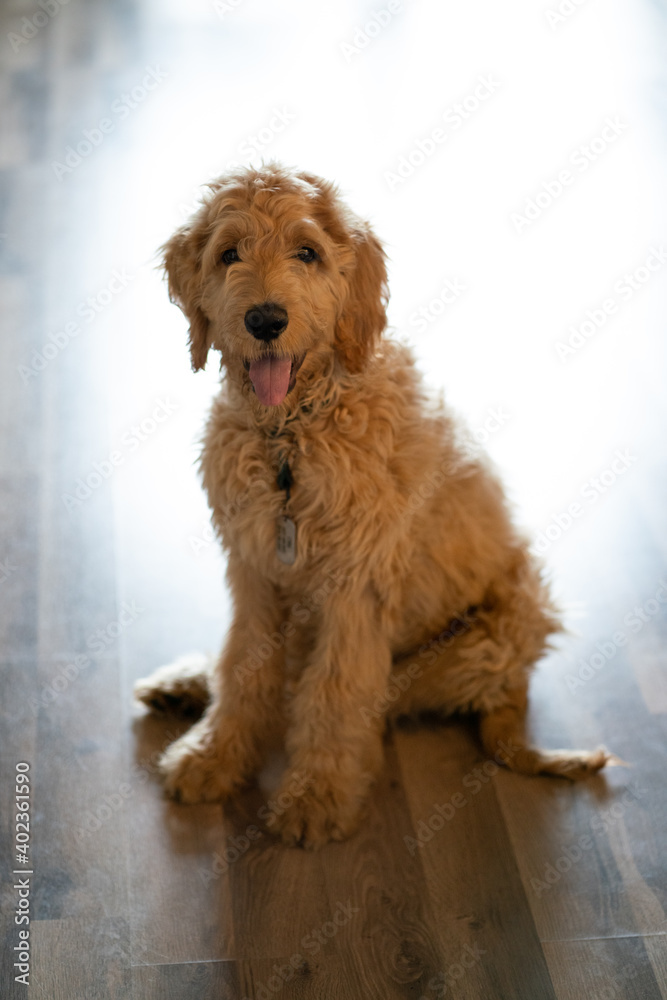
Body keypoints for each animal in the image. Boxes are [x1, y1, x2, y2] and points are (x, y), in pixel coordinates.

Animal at [136, 162, 612, 844]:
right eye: (228, 254)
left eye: (307, 252)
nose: (265, 321)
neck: (293, 436)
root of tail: (514, 689)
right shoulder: (255, 570)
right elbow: (243, 664)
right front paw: (216, 756)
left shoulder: (355, 585)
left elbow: (334, 691)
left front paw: (315, 795)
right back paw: (185, 683)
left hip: (495, 634)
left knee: (347, 693)